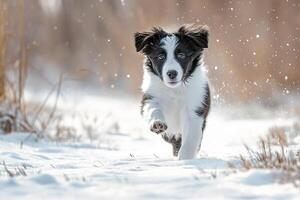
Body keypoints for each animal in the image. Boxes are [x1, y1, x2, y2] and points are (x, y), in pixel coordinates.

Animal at [135, 25, 210, 159]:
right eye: (160, 57)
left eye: (181, 55)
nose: (172, 73)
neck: (175, 90)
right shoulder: (150, 97)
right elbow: (152, 109)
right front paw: (157, 124)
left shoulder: (195, 109)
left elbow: (190, 138)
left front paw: (185, 158)